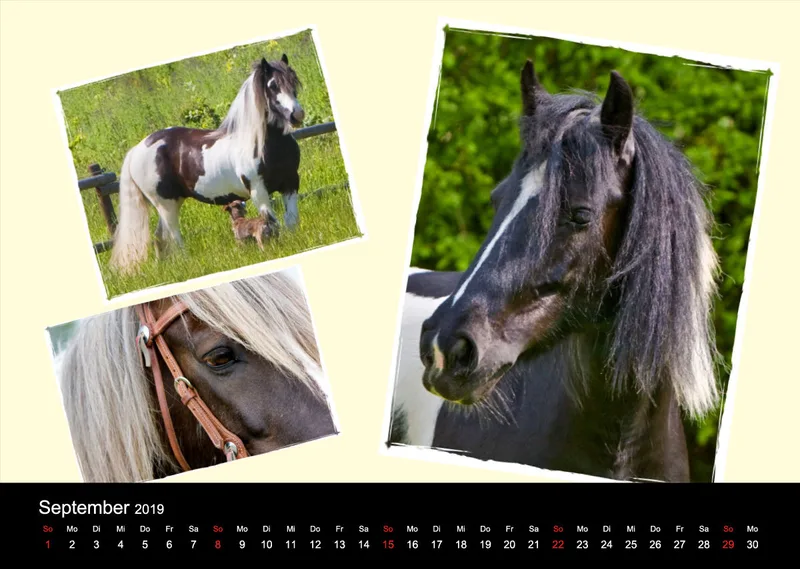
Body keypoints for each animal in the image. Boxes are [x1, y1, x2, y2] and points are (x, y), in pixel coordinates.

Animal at [109, 54, 306, 274]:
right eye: (272, 85)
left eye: (293, 80)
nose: (297, 115)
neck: (263, 142)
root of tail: (137, 149)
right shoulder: (258, 191)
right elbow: (270, 223)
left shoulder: (291, 183)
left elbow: (291, 220)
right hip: (165, 204)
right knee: (174, 237)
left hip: (171, 201)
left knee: (159, 238)